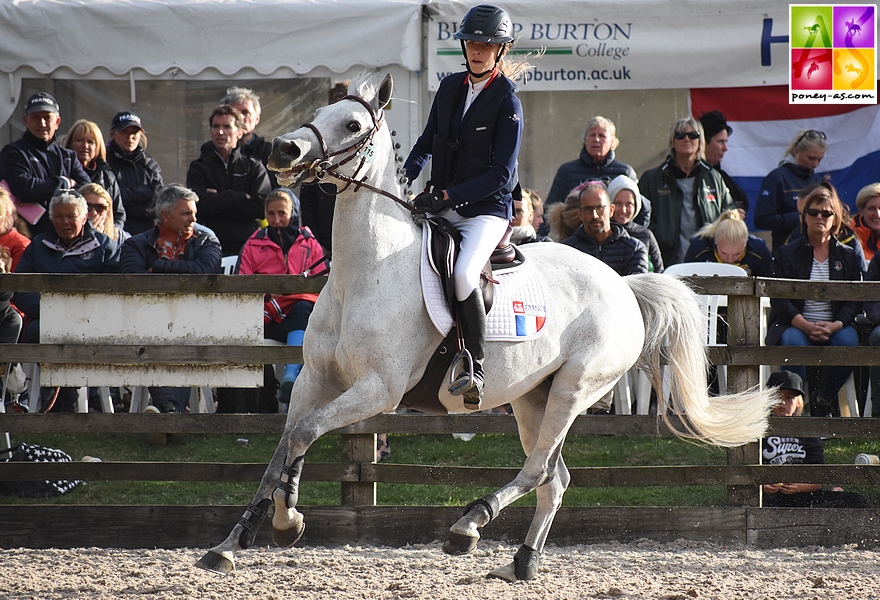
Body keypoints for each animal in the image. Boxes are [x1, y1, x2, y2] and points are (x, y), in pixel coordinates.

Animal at [196, 74, 772, 580]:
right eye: (318, 114)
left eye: (353, 124)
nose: (281, 152)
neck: (365, 272)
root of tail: (623, 284)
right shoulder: (315, 381)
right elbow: (283, 446)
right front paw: (233, 541)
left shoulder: (377, 389)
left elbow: (305, 434)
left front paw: (288, 519)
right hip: (533, 397)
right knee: (555, 478)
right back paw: (521, 563)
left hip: (574, 387)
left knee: (539, 471)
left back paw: (468, 526)